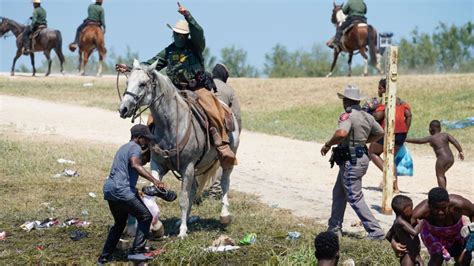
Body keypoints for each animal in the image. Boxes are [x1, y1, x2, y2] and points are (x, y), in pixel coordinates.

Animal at [118, 60, 241, 239]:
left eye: (142, 84)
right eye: (127, 82)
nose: (123, 109)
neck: (171, 125)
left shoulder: (187, 166)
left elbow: (183, 198)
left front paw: (182, 232)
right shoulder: (157, 164)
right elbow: (154, 193)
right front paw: (157, 227)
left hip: (226, 158)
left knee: (224, 182)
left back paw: (224, 215)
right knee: (194, 189)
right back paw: (186, 220)